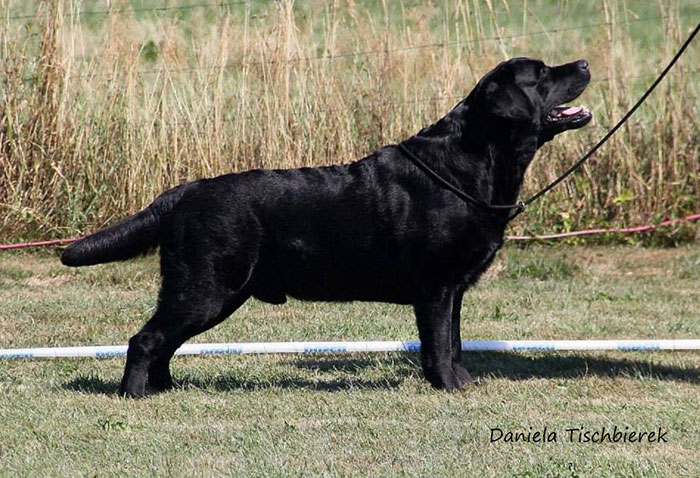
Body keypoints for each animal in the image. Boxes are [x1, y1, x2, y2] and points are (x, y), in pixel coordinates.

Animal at [63, 58, 592, 398]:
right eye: (543, 74)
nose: (584, 63)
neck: (471, 163)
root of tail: (181, 193)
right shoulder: (436, 288)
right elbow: (440, 345)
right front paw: (448, 387)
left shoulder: (453, 289)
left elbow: (454, 342)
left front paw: (460, 383)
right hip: (206, 288)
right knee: (145, 340)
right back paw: (134, 396)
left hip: (211, 293)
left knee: (164, 342)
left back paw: (166, 389)